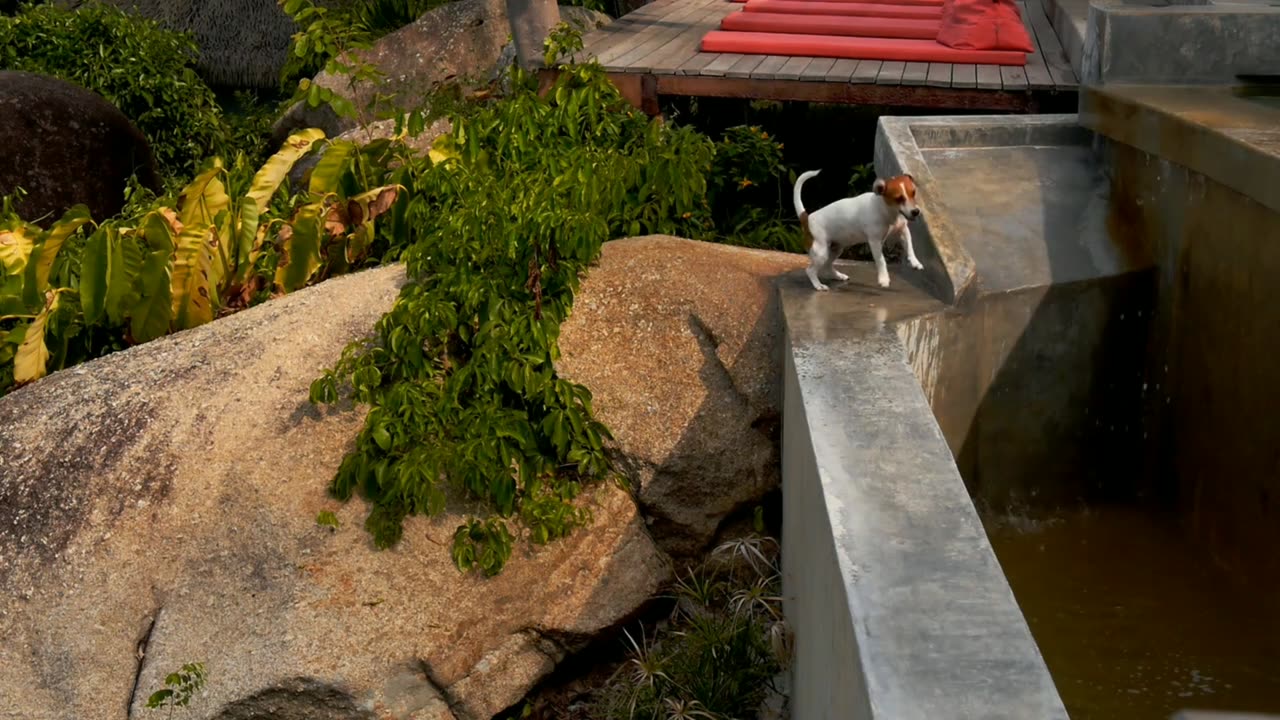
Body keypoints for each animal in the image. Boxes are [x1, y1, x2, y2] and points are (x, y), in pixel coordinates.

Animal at [788, 167, 921, 288]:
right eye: (899, 198)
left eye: (914, 192)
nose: (916, 212)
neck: (886, 210)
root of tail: (807, 218)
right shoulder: (875, 242)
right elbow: (881, 260)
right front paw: (884, 278)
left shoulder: (903, 231)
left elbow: (910, 247)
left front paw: (915, 262)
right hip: (821, 252)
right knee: (810, 270)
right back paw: (818, 285)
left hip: (836, 249)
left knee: (827, 266)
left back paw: (838, 276)